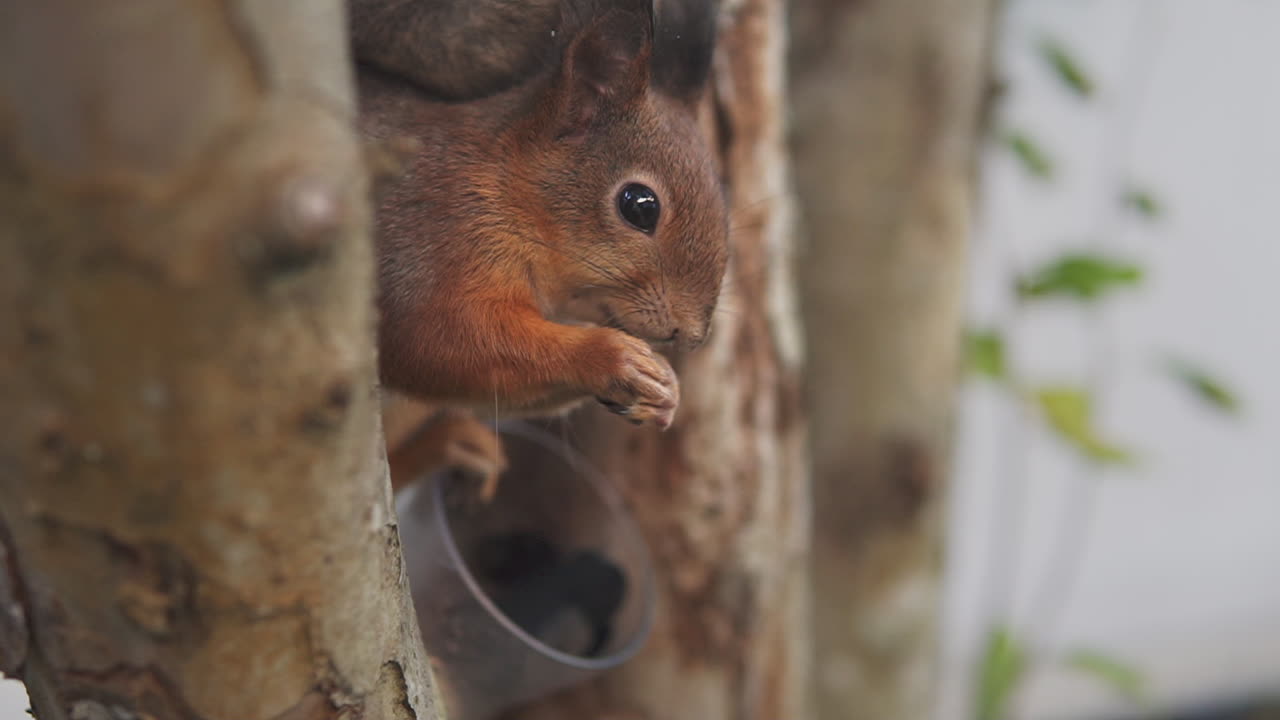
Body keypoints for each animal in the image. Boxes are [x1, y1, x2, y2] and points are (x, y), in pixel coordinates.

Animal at [352, 0, 728, 493]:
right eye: (639, 206)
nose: (691, 335)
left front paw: (665, 391)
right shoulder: (420, 242)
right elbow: (436, 339)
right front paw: (613, 356)